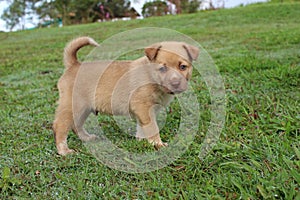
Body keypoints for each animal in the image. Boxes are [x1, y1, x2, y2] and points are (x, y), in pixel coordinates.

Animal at [53, 36, 199, 155]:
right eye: (162, 68)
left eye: (183, 67)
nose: (175, 83)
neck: (151, 76)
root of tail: (74, 65)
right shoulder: (143, 108)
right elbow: (153, 128)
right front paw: (158, 144)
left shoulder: (144, 111)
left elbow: (142, 128)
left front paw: (142, 141)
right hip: (73, 107)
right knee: (60, 127)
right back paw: (64, 151)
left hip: (83, 109)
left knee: (76, 125)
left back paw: (87, 138)